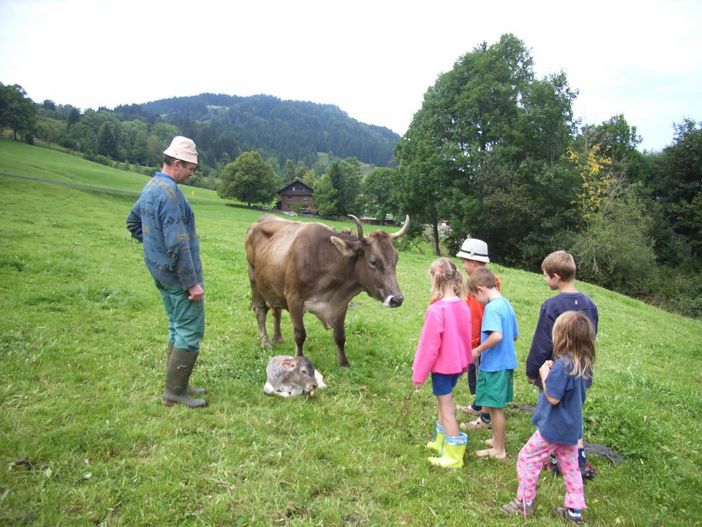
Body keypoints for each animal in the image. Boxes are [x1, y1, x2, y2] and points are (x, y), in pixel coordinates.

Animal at [248, 214, 412, 368]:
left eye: (396, 259)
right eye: (373, 262)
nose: (397, 299)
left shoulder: (341, 303)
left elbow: (340, 336)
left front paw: (344, 363)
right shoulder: (293, 298)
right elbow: (300, 334)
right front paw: (299, 360)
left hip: (273, 286)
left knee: (276, 311)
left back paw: (278, 338)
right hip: (254, 280)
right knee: (261, 311)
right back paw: (266, 342)